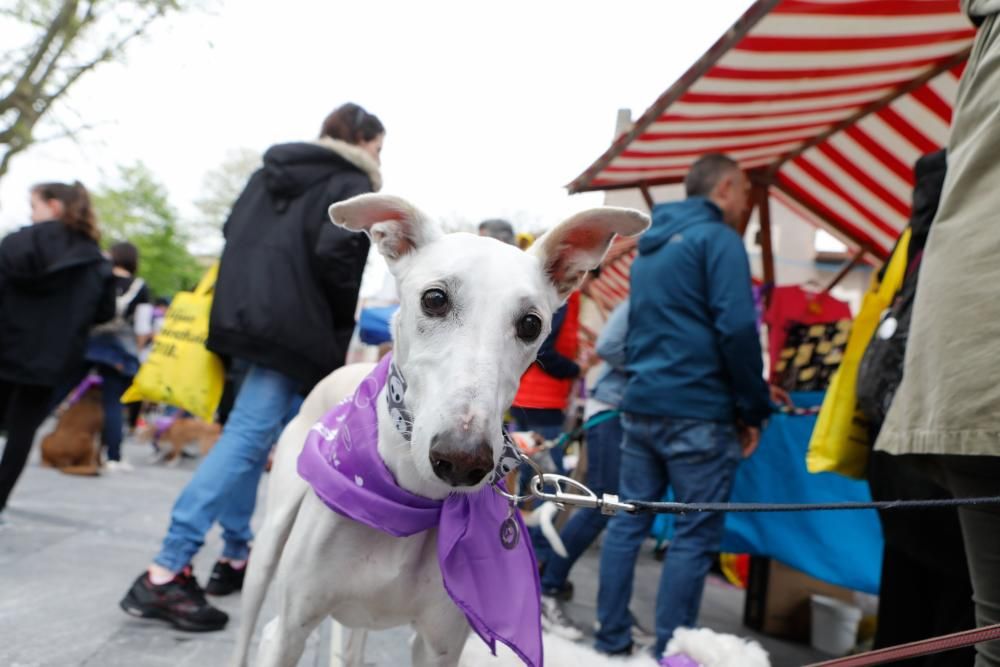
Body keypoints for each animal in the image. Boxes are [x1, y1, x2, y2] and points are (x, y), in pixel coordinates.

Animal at [229, 193, 648, 667]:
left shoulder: (440, 646)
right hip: (267, 553)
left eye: (531, 323)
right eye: (434, 299)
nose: (462, 460)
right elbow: (280, 631)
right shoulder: (288, 631)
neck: (409, 500)